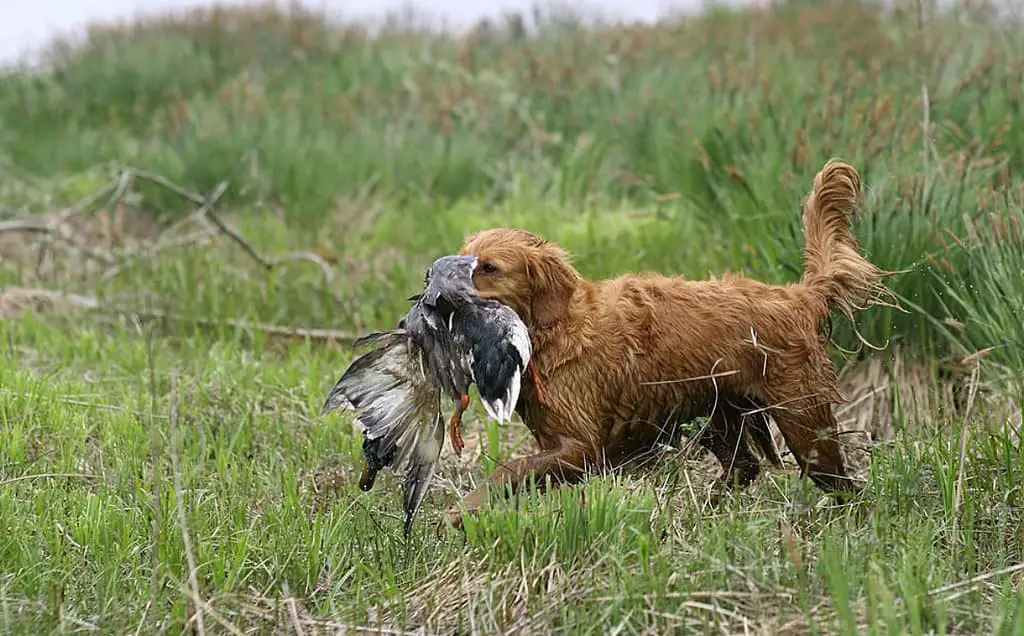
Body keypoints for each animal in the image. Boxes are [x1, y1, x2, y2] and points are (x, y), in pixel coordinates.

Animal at [444, 158, 892, 532]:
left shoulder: (580, 447)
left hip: (804, 424)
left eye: (489, 268)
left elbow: (510, 470)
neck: (553, 329)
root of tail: (799, 296)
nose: (437, 288)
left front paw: (459, 512)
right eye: (460, 258)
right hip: (719, 414)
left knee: (845, 486)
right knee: (744, 468)